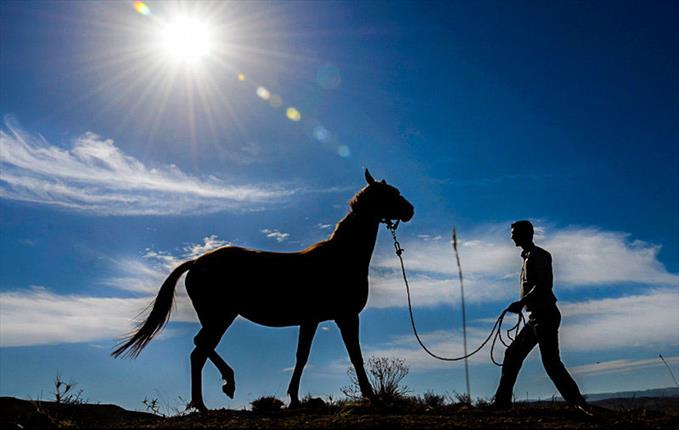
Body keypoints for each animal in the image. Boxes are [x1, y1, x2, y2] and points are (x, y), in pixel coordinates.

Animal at [111, 168, 414, 410]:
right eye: (390, 193)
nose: (409, 210)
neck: (341, 258)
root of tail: (197, 261)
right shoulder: (346, 317)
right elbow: (356, 356)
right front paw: (372, 398)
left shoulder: (311, 320)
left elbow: (302, 357)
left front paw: (294, 399)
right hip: (220, 316)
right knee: (200, 349)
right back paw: (213, 395)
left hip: (219, 317)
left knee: (201, 348)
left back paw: (215, 392)